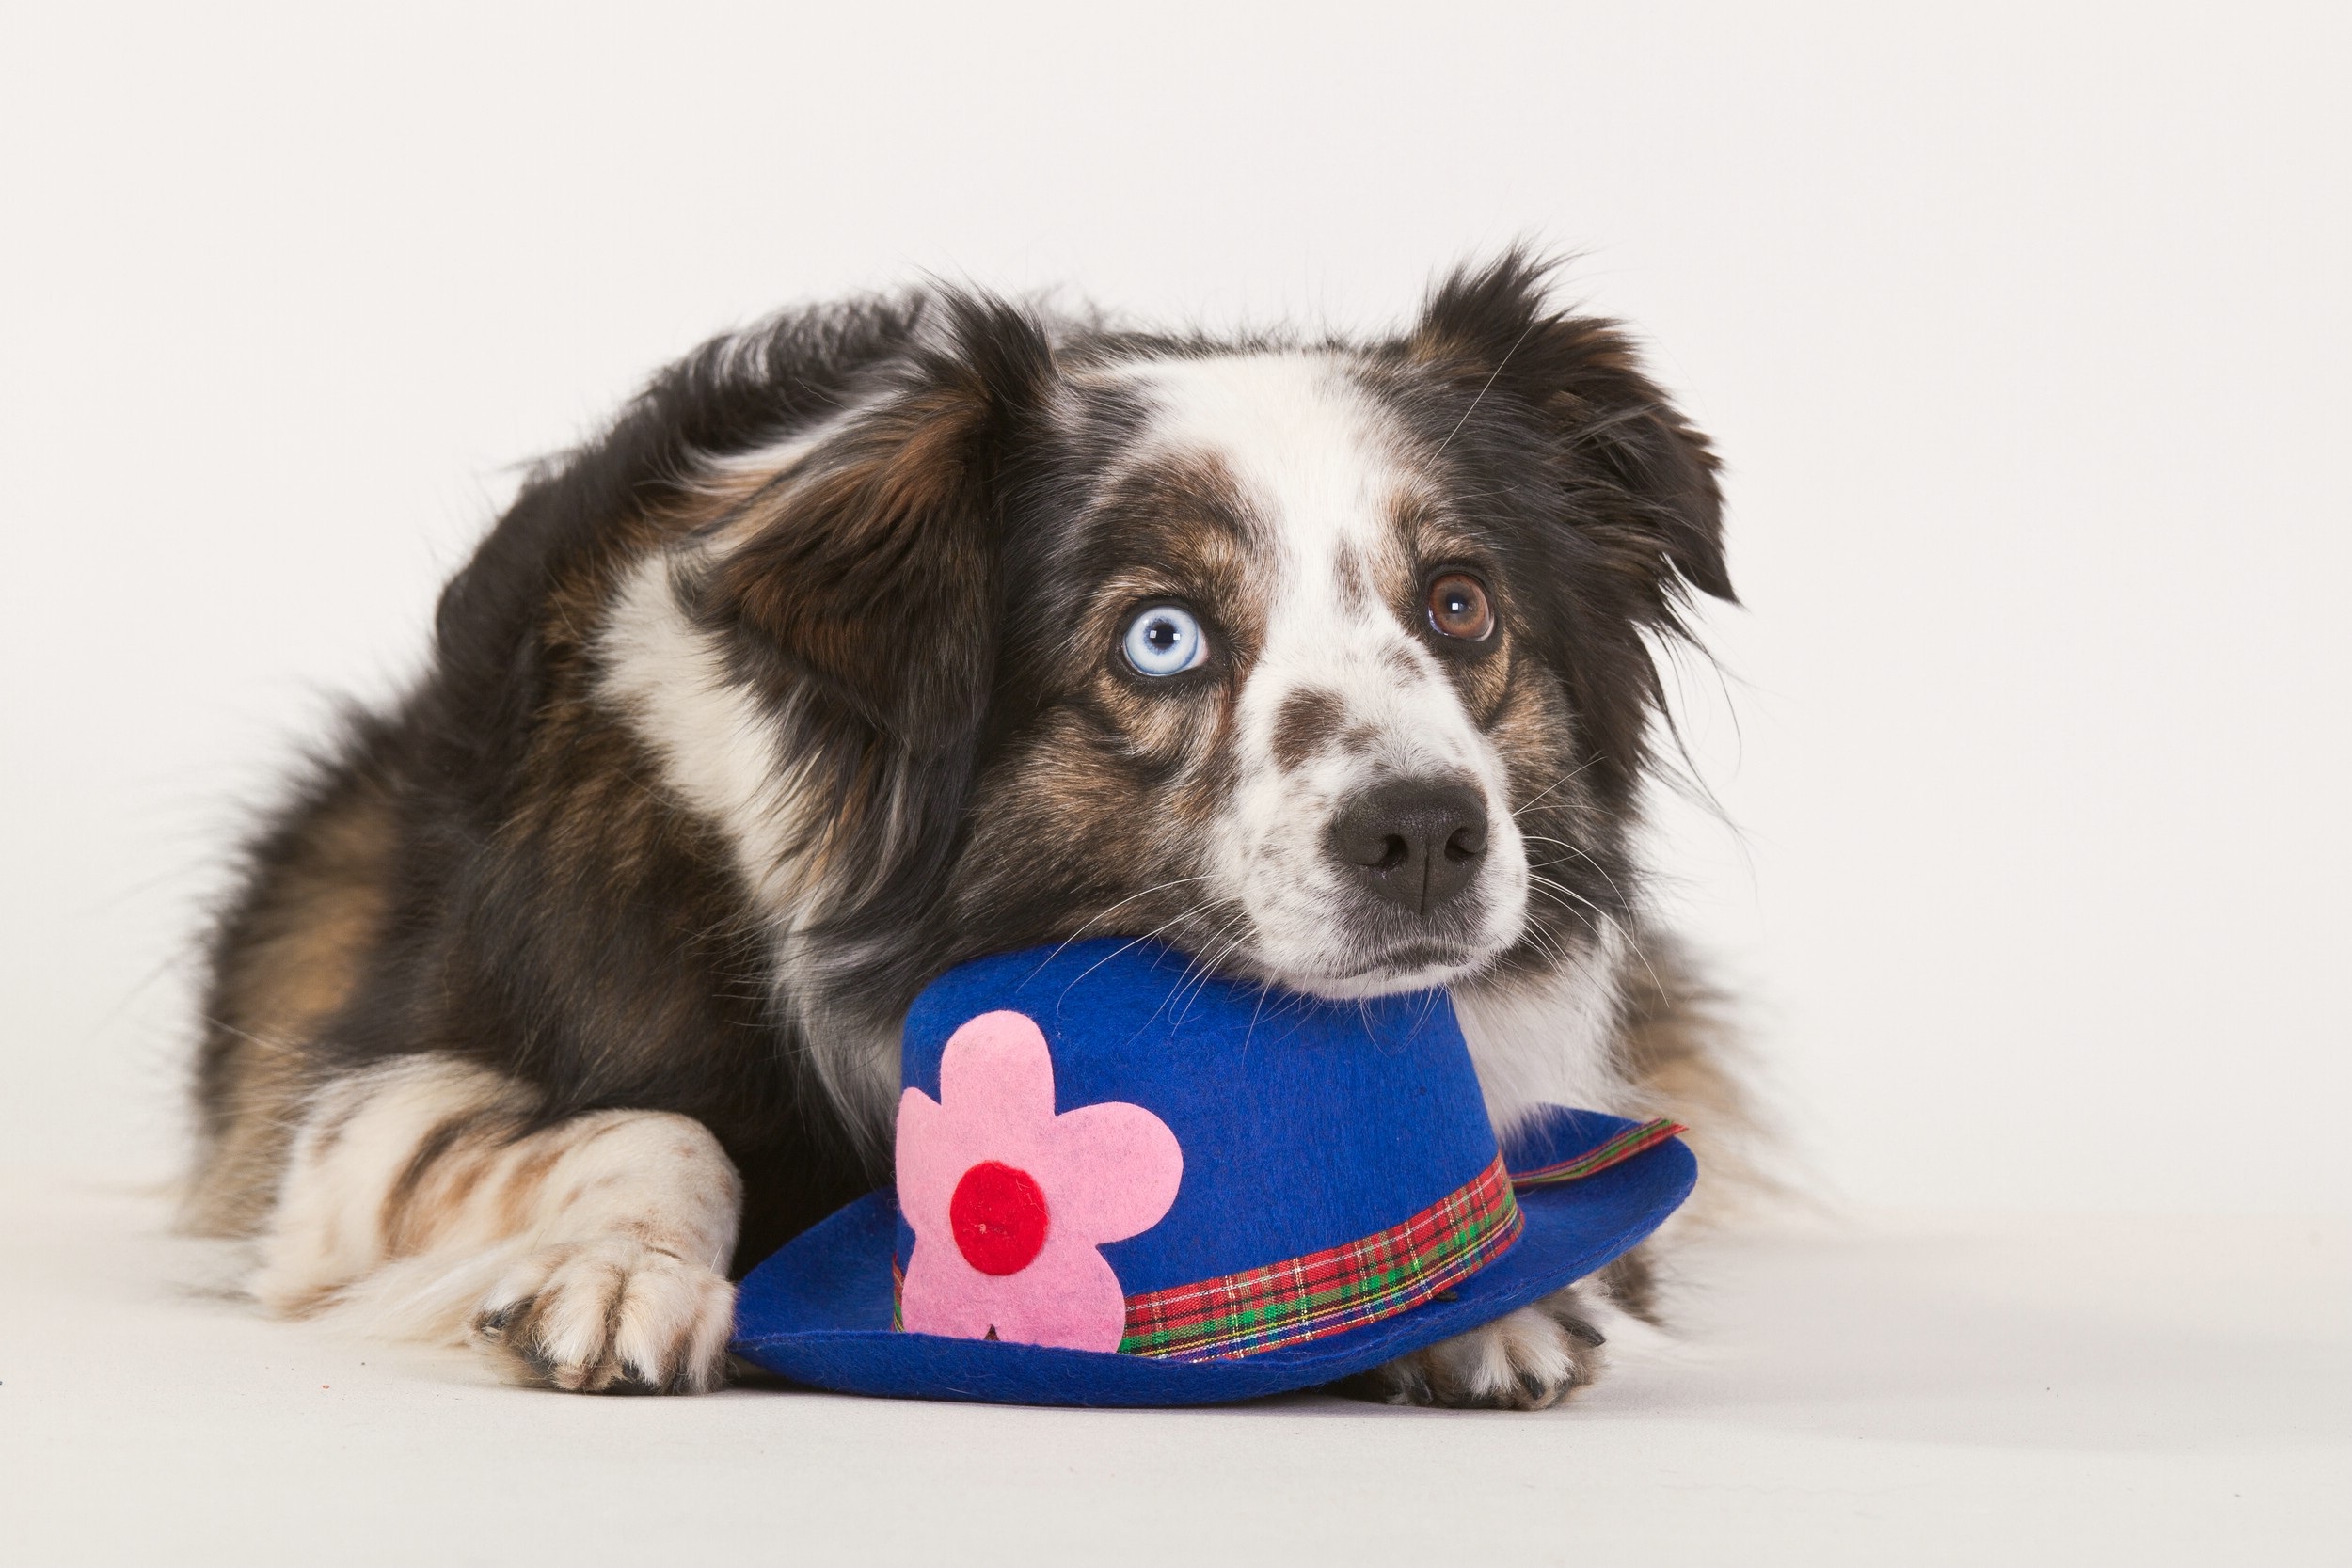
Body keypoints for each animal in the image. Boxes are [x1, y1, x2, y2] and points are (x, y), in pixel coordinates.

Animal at [188, 257, 1750, 1410]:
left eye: (1460, 605)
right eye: (1163, 635)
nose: (1426, 831)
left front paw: (1492, 1307)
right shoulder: (344, 1140)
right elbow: (653, 1125)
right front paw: (627, 1266)